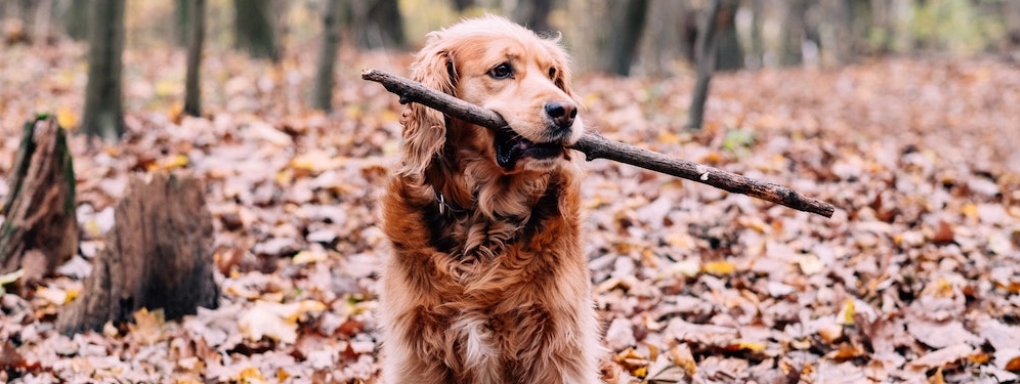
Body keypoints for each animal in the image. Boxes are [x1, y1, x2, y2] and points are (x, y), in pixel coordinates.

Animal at [381, 15, 603, 384]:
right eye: (502, 70)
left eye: (552, 73)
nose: (567, 111)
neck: (485, 216)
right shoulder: (418, 350)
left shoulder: (558, 344)